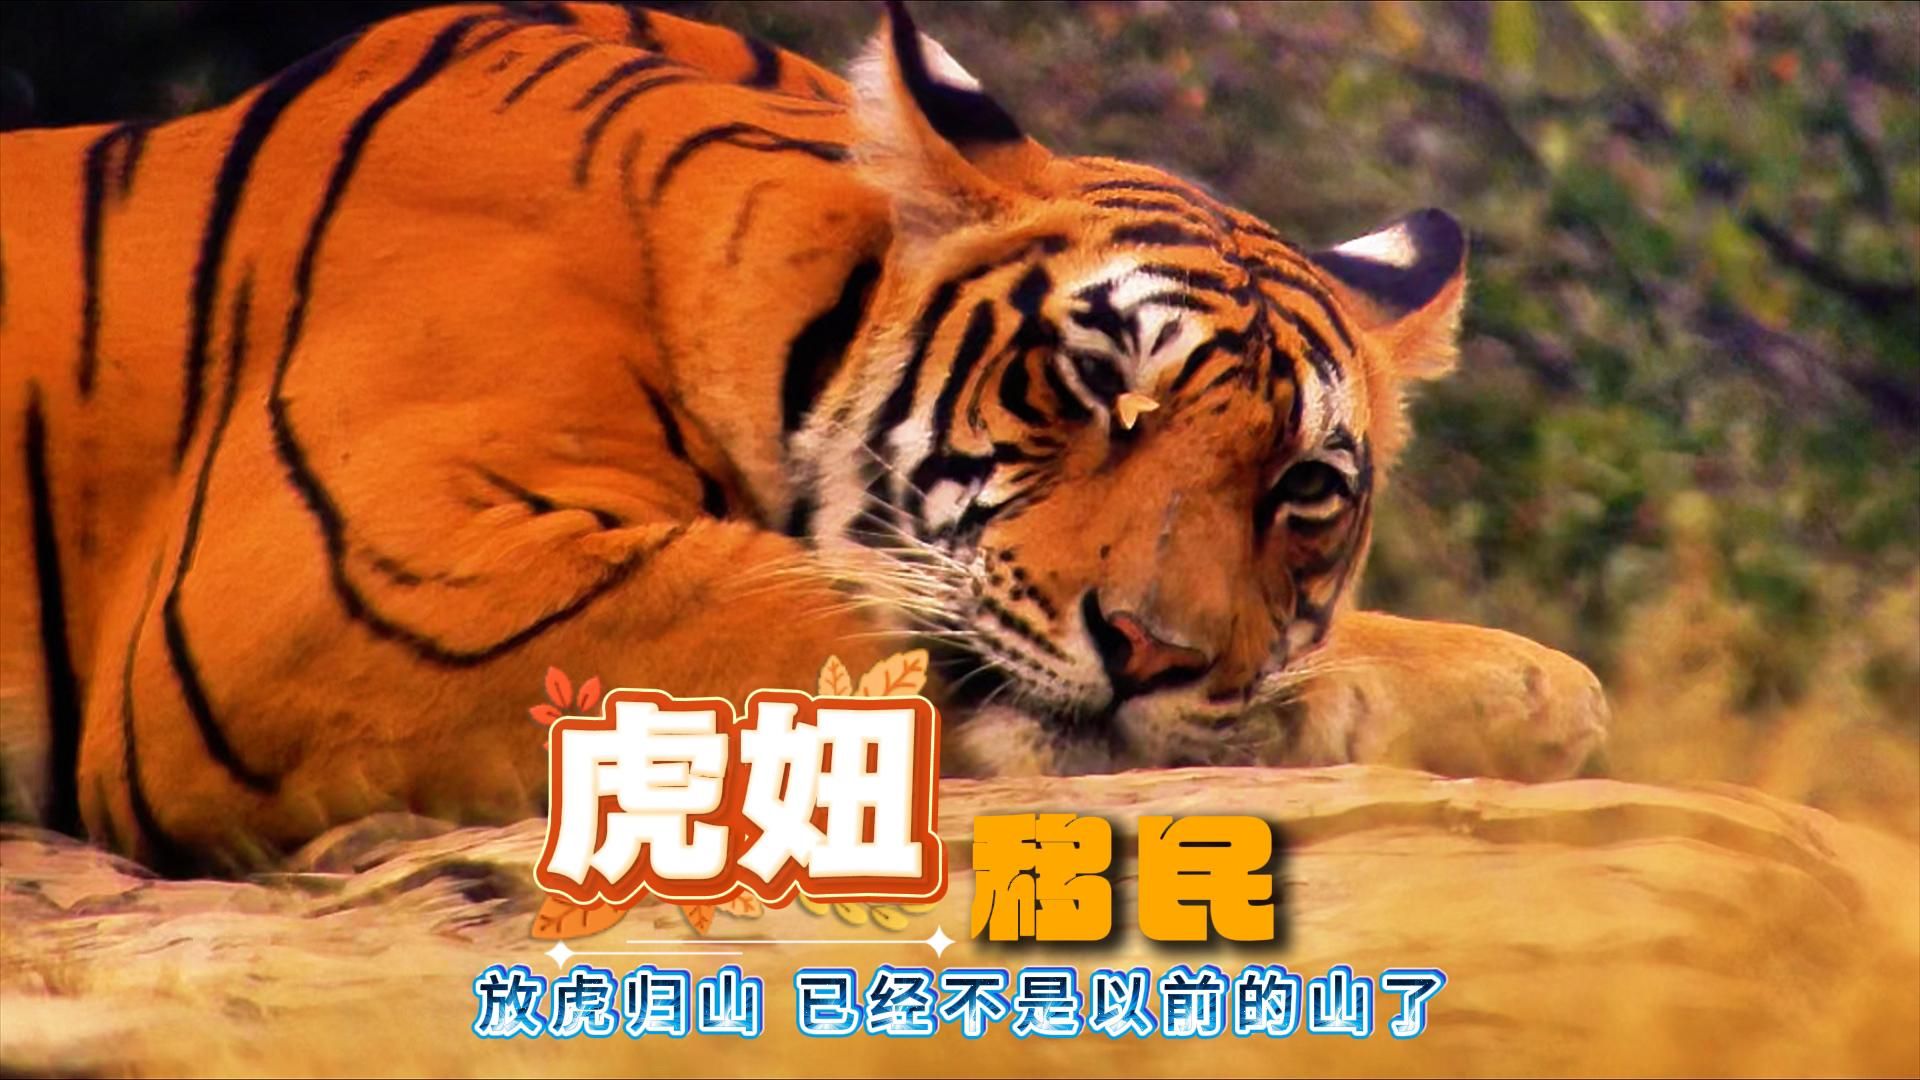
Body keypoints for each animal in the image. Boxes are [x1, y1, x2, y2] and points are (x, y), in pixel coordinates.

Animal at [0, 1, 1608, 874]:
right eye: (1094, 384)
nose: (1151, 649)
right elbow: (810, 620)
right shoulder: (340, 589)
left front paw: (1508, 690)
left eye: (1303, 490)